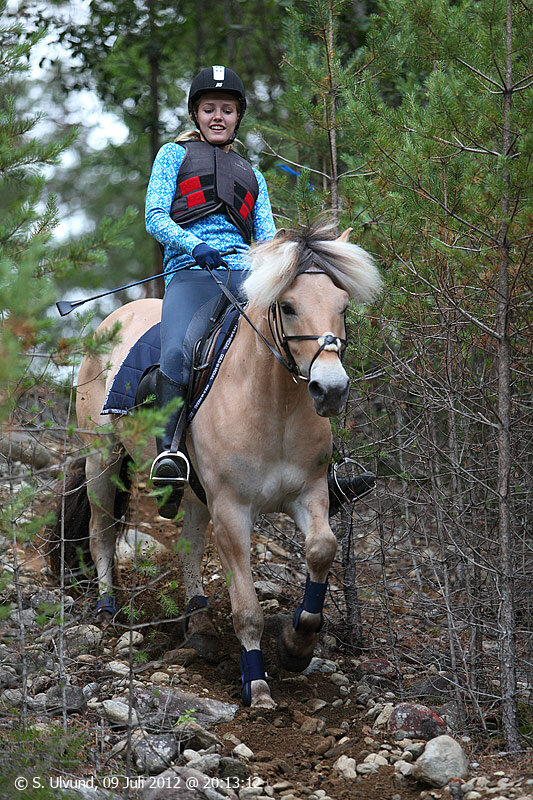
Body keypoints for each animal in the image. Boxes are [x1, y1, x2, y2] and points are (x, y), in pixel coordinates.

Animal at [54, 219, 380, 708]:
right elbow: (246, 608)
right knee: (101, 533)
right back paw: (108, 610)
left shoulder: (310, 494)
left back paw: (201, 623)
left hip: (191, 489)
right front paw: (257, 685)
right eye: (288, 306)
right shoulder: (231, 509)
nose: (331, 389)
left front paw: (297, 646)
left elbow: (322, 549)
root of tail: (110, 322)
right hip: (102, 460)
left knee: (188, 542)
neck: (274, 405)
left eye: (343, 306)